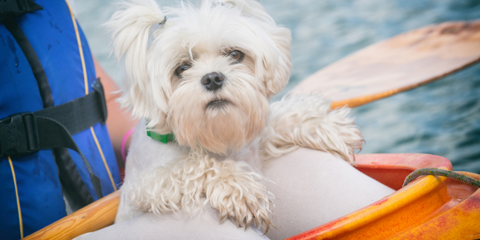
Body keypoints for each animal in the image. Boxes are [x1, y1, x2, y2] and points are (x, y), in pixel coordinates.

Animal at [107, 0, 362, 236]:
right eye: (182, 68)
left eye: (235, 54)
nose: (212, 78)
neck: (214, 135)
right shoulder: (145, 186)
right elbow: (195, 165)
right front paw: (240, 189)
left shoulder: (251, 140)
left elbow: (273, 123)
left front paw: (323, 124)